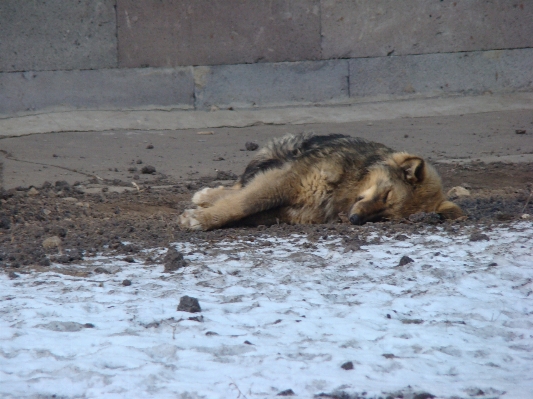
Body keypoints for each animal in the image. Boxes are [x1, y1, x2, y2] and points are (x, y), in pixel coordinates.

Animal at [179, 133, 462, 230]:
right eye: (386, 195)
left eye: (385, 217)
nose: (355, 220)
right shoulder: (286, 180)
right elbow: (242, 203)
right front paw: (200, 218)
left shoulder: (293, 213)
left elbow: (247, 210)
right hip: (280, 156)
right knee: (240, 185)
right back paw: (207, 196)